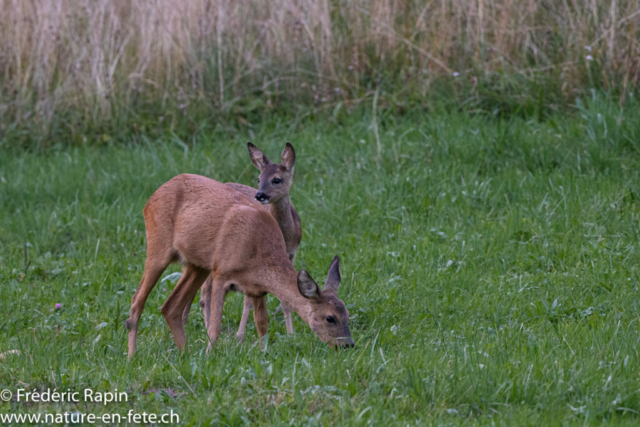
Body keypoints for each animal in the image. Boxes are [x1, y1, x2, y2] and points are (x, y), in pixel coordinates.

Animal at [126, 174, 356, 358]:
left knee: (170, 306)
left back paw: (186, 354)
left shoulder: (257, 290)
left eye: (346, 313)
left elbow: (262, 325)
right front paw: (209, 357)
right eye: (330, 318)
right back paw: (131, 356)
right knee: (137, 300)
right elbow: (215, 327)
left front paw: (263, 353)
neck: (259, 254)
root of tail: (152, 197)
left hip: (197, 264)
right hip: (159, 245)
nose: (348, 345)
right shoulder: (221, 273)